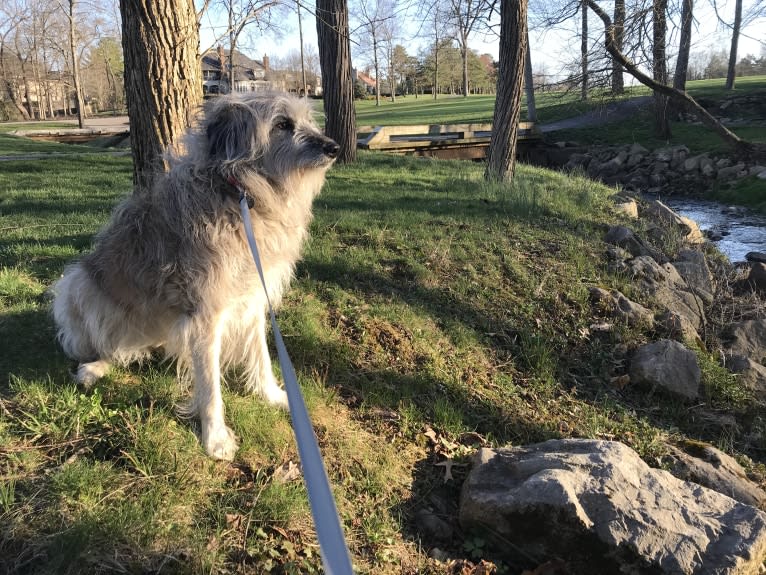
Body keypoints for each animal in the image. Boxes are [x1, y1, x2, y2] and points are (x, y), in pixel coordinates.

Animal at [51, 92, 340, 462]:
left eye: (306, 121)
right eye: (282, 124)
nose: (334, 147)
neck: (240, 193)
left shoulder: (252, 299)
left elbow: (260, 353)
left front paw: (273, 395)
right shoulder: (205, 313)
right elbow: (210, 384)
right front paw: (214, 437)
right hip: (77, 285)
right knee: (108, 344)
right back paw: (94, 367)